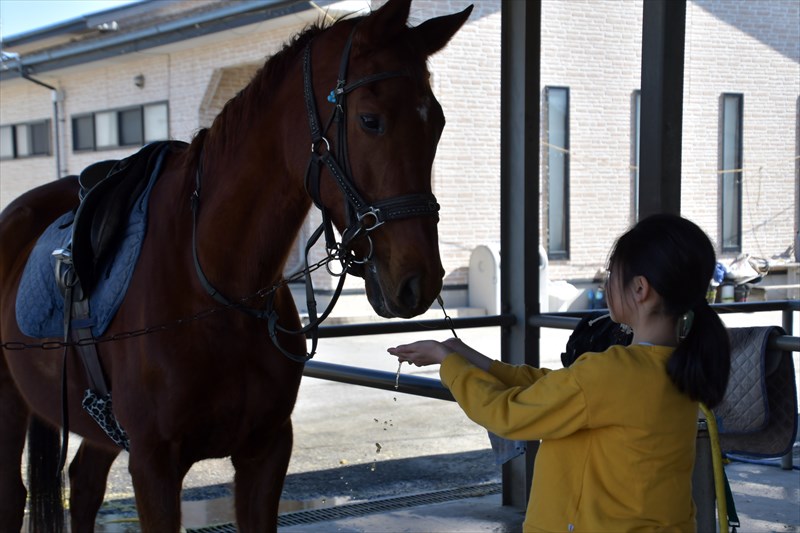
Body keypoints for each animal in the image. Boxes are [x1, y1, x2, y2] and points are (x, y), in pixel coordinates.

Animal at [0, 2, 472, 528]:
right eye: (370, 120)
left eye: (438, 124)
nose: (419, 281)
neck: (214, 290)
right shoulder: (153, 465)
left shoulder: (266, 452)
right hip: (8, 402)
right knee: (14, 494)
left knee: (83, 485)